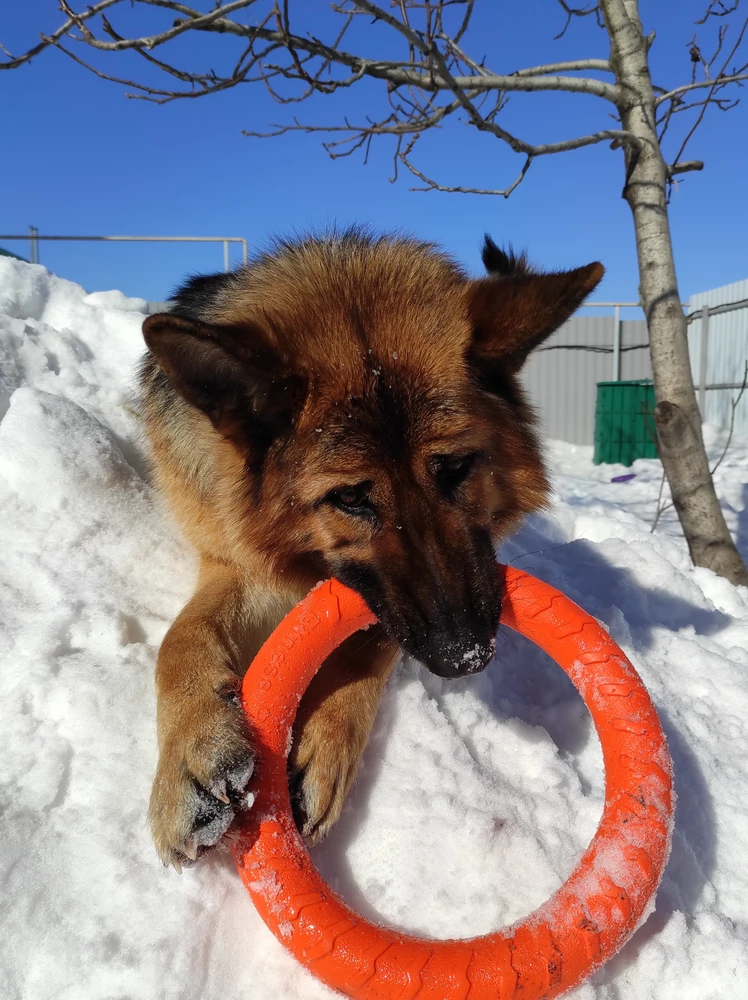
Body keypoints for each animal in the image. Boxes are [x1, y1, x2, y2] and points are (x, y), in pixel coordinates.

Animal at [139, 230, 600, 872]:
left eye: (455, 468)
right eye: (351, 498)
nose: (464, 658)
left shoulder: (389, 603)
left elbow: (370, 641)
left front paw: (322, 739)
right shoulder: (235, 563)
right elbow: (179, 640)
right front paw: (191, 759)